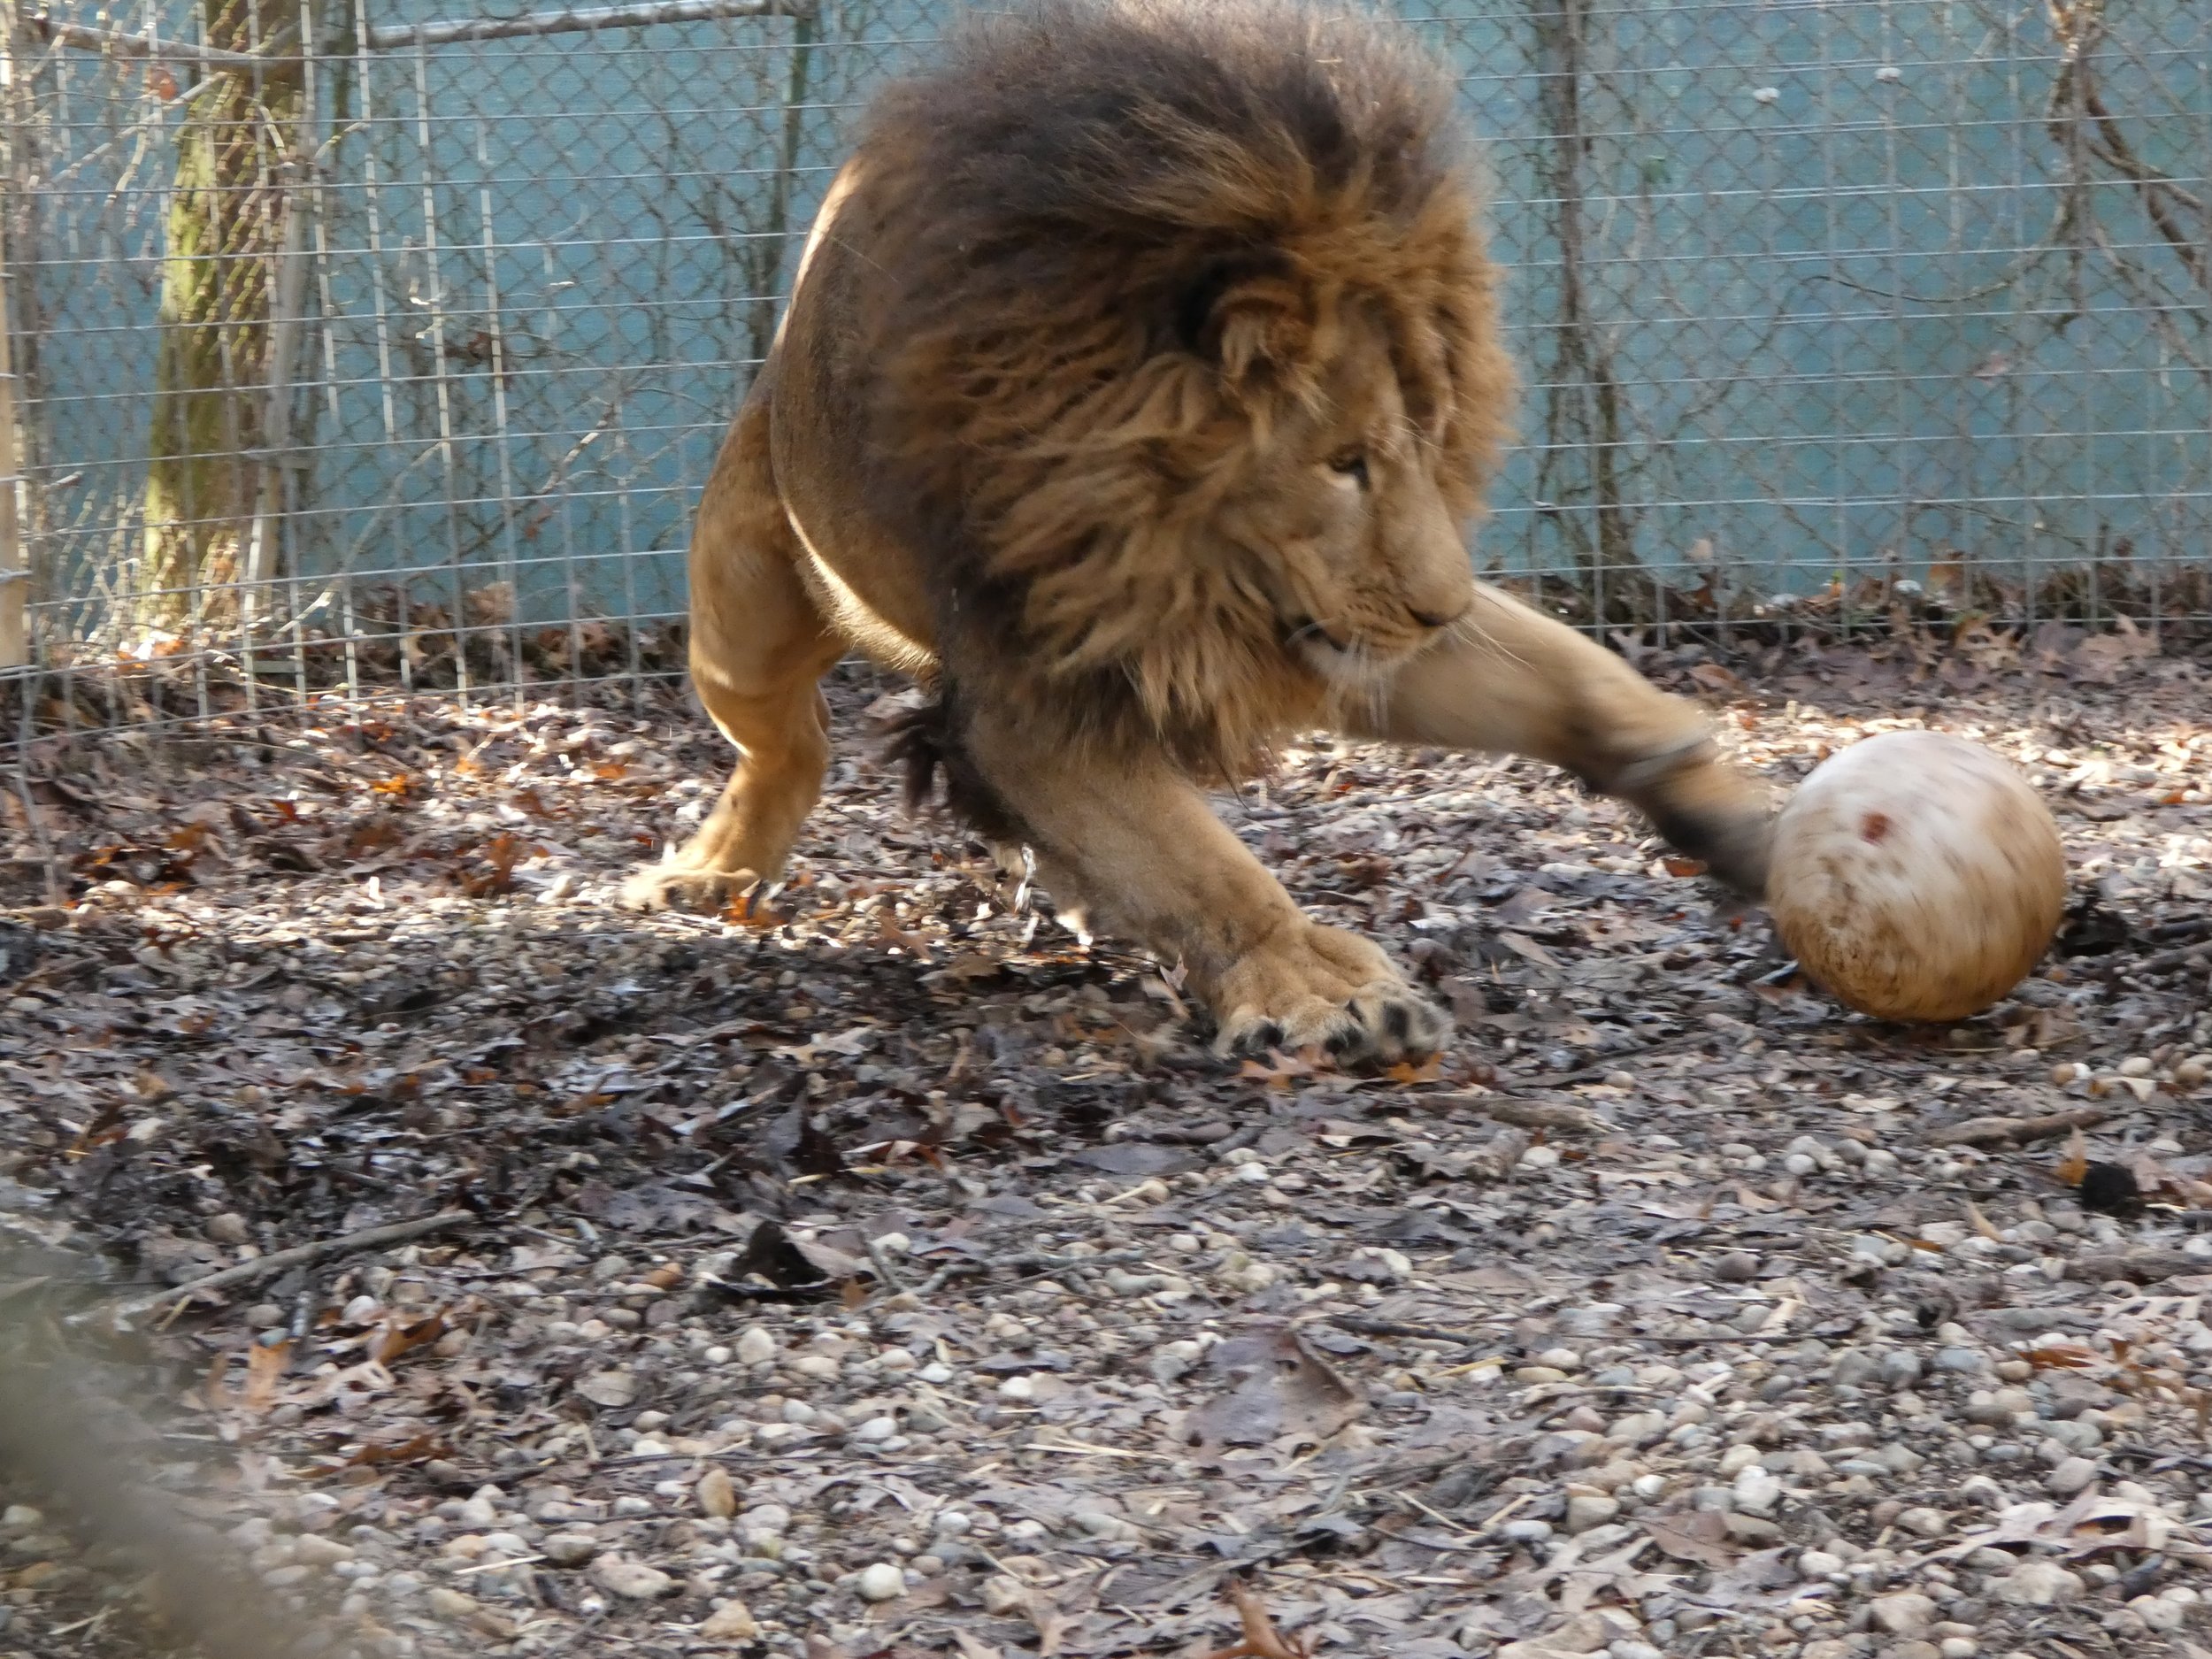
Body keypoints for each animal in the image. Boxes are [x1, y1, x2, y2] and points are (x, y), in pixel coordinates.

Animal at [624, 0, 1774, 1062]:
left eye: (1430, 434)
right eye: (1343, 461)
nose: (1441, 608)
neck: (1179, 560)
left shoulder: (1332, 631)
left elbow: (1592, 691)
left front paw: (1745, 823)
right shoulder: (1037, 691)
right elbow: (1204, 866)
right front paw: (1318, 988)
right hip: (742, 615)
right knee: (788, 744)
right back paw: (709, 873)